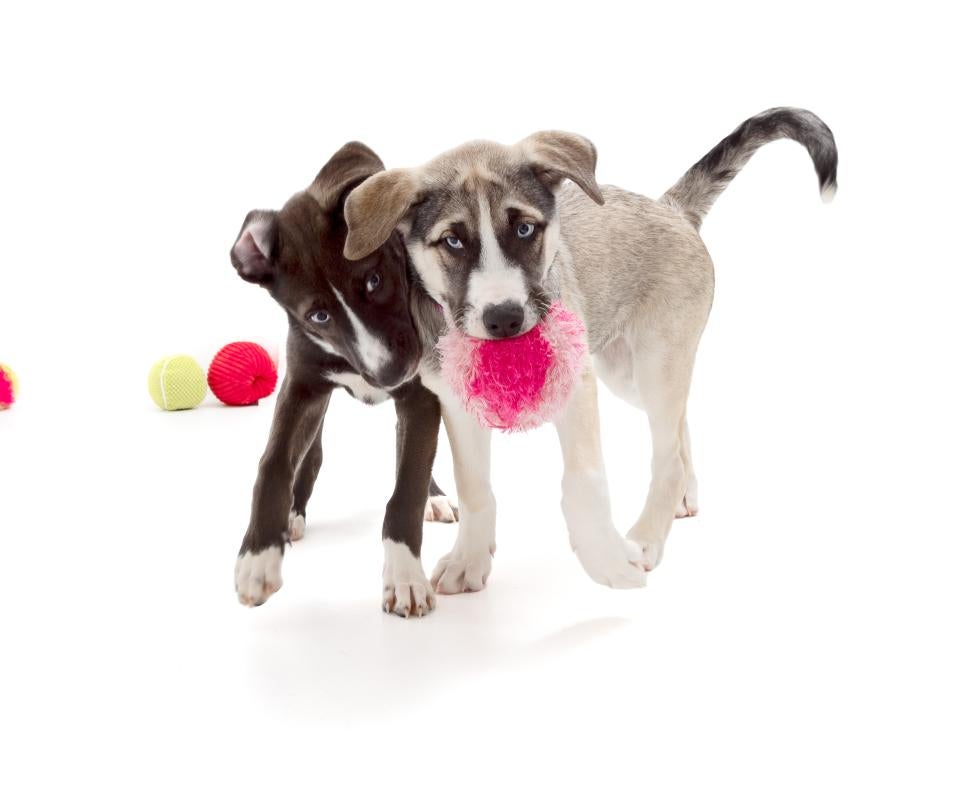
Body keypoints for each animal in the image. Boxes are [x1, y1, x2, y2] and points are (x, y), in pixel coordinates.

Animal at [232, 145, 458, 620]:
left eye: (373, 279)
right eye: (318, 316)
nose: (389, 373)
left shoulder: (420, 393)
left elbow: (408, 482)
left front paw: (405, 577)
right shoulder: (302, 386)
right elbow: (275, 462)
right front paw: (258, 558)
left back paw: (434, 497)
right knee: (312, 452)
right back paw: (292, 514)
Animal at [342, 109, 836, 592]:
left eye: (525, 228)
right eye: (453, 241)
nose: (504, 318)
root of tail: (670, 208)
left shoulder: (577, 387)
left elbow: (584, 481)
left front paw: (606, 560)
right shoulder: (457, 405)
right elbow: (475, 489)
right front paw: (469, 560)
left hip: (656, 361)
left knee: (668, 455)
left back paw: (646, 538)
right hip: (626, 372)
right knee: (678, 429)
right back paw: (682, 497)